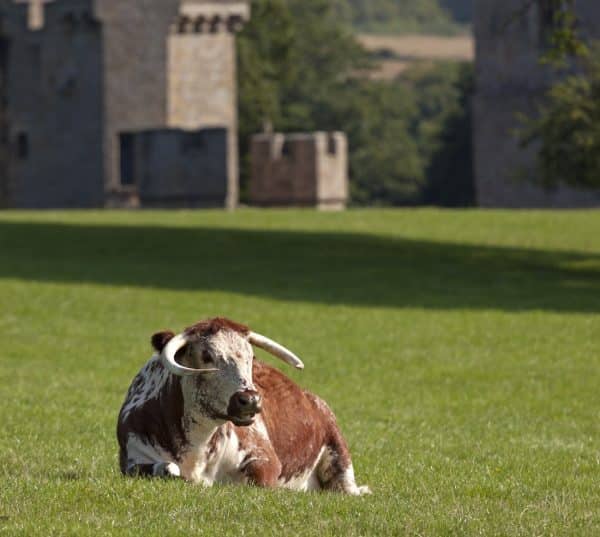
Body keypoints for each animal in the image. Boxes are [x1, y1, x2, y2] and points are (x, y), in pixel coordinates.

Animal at [116, 314, 370, 494]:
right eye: (207, 356)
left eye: (250, 356)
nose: (250, 400)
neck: (197, 445)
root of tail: (311, 397)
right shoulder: (132, 461)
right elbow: (167, 468)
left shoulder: (263, 459)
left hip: (338, 451)